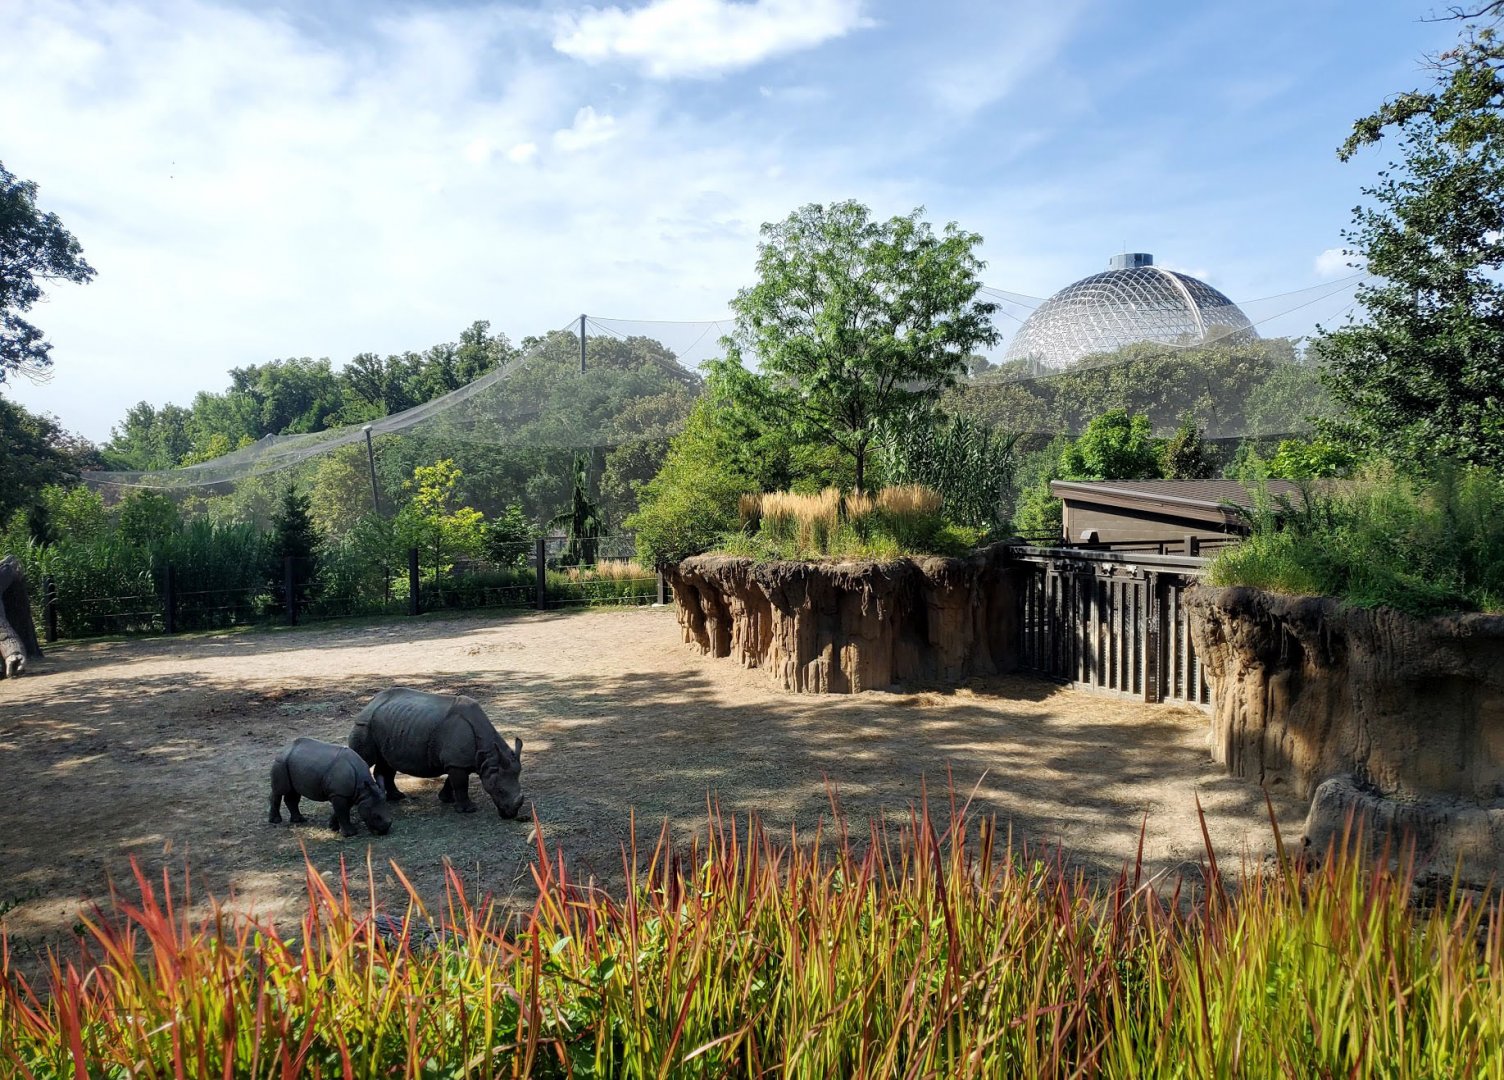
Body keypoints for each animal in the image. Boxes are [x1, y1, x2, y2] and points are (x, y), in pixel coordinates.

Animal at [347, 687, 525, 818]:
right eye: (500, 790)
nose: (511, 814)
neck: (489, 756)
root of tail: (371, 702)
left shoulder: (459, 761)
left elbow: (453, 781)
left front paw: (446, 799)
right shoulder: (456, 762)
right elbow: (460, 784)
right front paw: (468, 809)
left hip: (388, 725)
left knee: (387, 762)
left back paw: (397, 797)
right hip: (364, 724)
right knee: (365, 759)